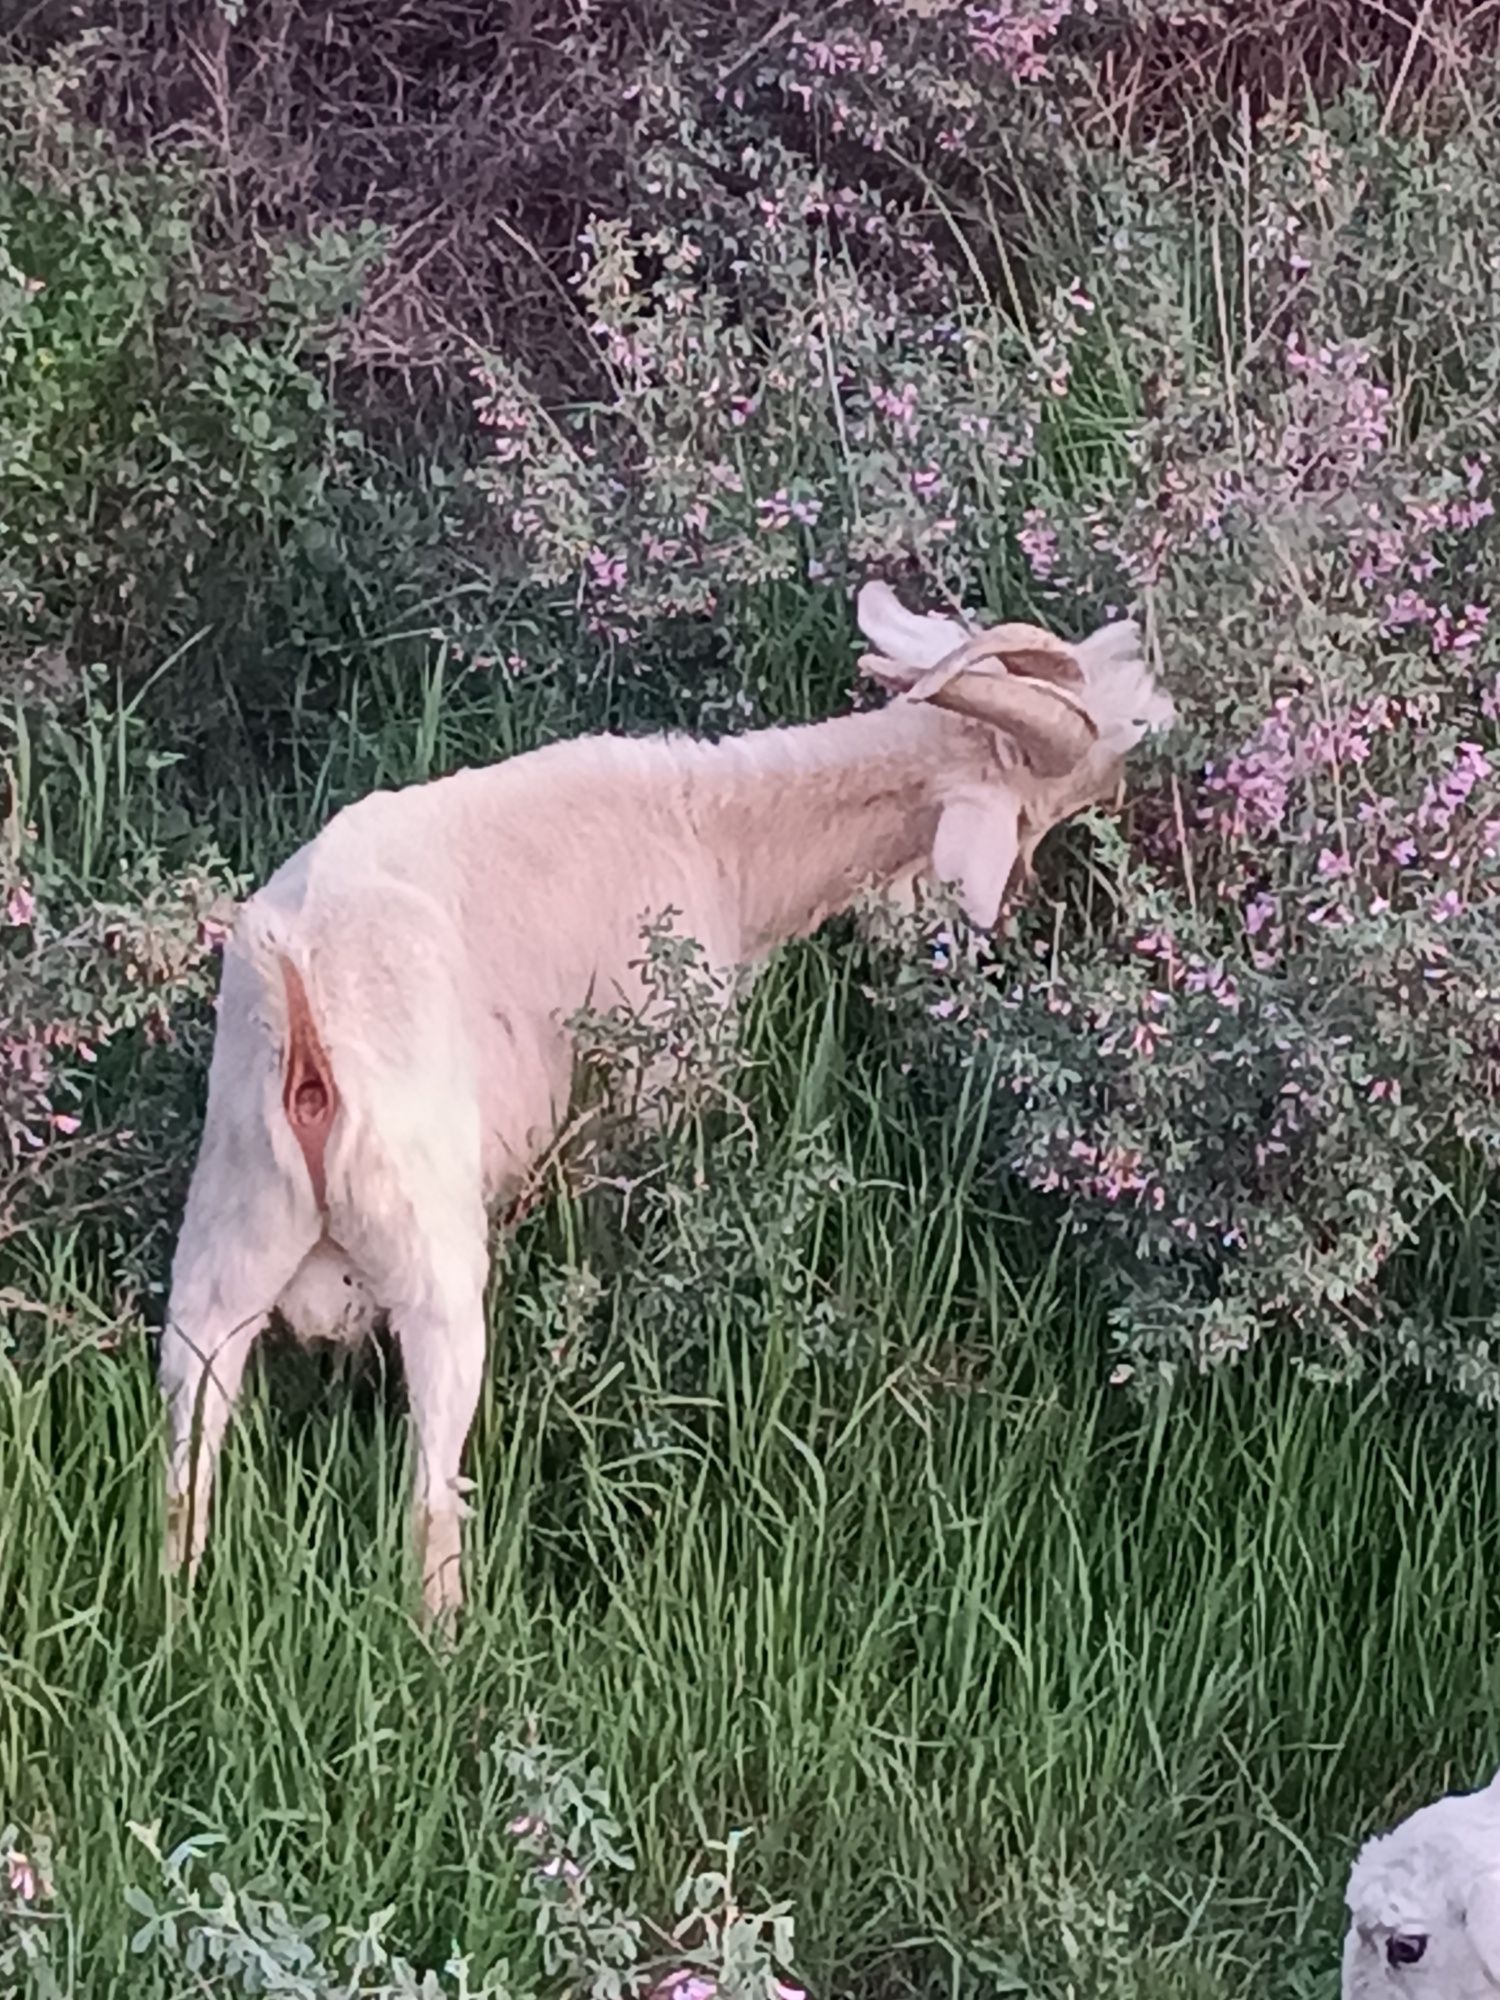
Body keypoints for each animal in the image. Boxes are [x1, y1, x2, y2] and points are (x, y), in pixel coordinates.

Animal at [162, 584, 1176, 1624]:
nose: (1155, 690)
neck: (721, 839)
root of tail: (301, 1000)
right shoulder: (646, 1101)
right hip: (427, 1244)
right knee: (430, 1497)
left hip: (227, 1233)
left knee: (189, 1445)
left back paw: (181, 1600)